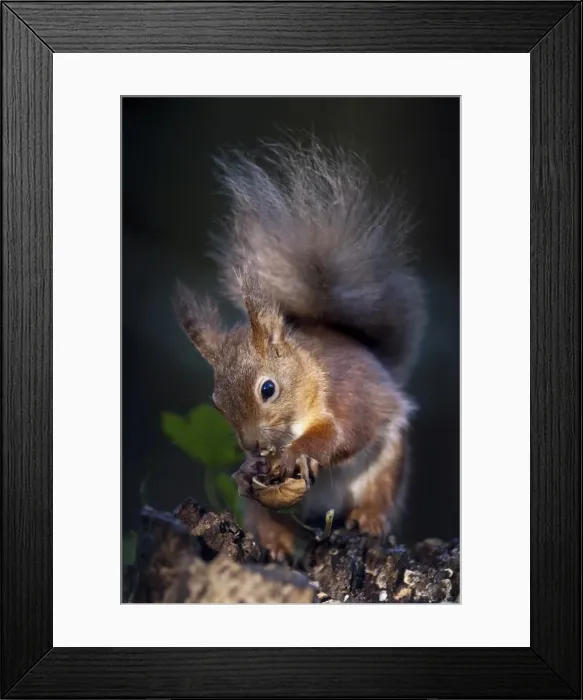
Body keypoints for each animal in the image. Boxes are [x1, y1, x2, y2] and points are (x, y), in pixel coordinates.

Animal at [174, 138, 426, 559]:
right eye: (217, 403)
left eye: (268, 389)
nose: (252, 446)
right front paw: (248, 470)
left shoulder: (347, 395)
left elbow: (343, 435)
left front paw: (294, 454)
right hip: (267, 511)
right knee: (267, 517)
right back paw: (276, 542)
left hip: (389, 462)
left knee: (379, 493)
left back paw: (369, 518)